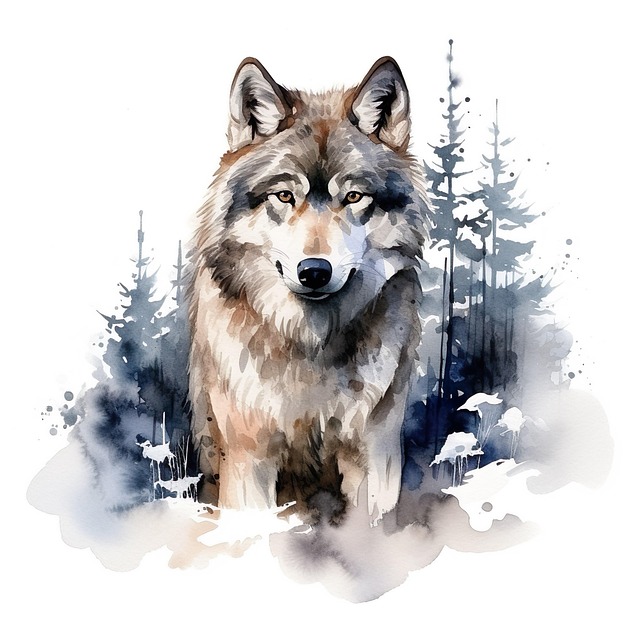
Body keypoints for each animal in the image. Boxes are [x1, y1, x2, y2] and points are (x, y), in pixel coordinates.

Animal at [187, 56, 429, 524]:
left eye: (353, 197)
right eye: (284, 195)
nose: (314, 271)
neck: (312, 347)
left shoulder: (374, 456)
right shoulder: (248, 458)